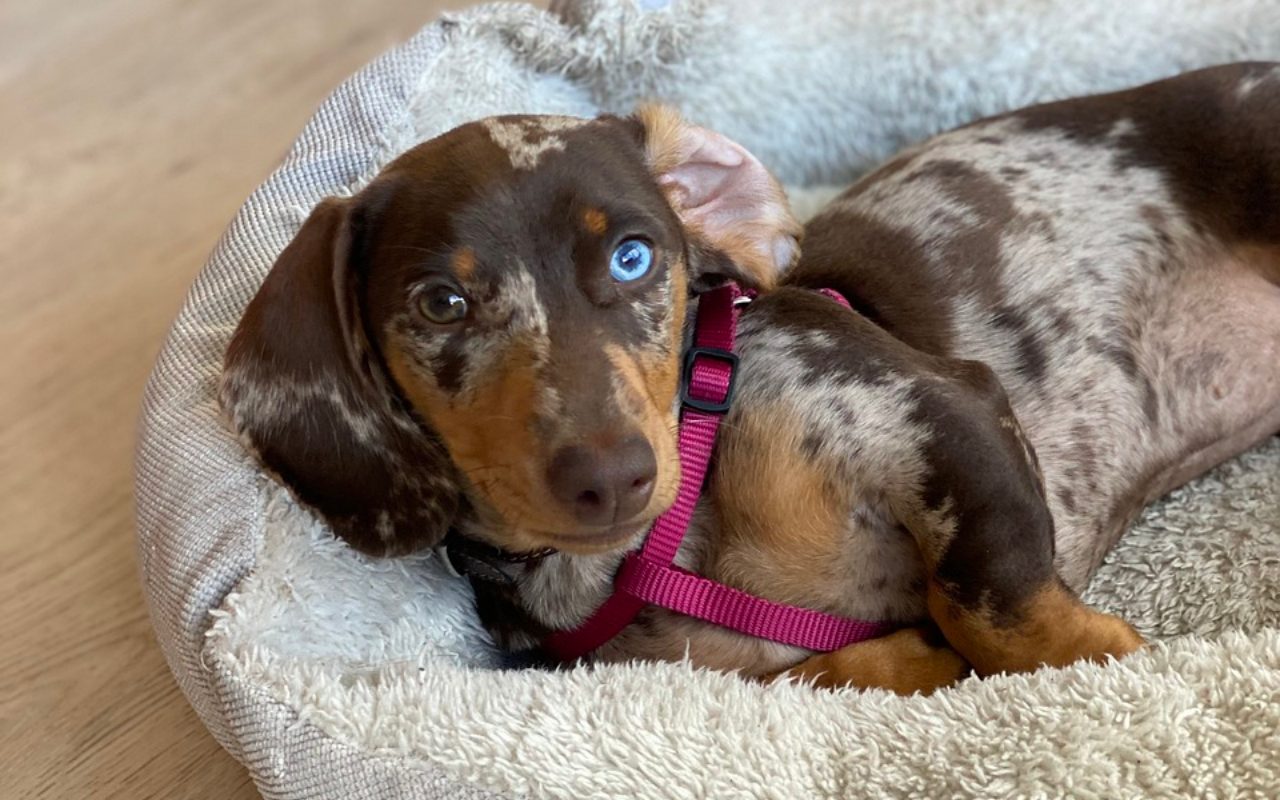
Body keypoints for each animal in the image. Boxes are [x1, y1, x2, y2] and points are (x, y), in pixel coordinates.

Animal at [225, 62, 1280, 691]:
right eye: (442, 303)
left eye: (635, 258)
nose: (609, 475)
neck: (674, 544)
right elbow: (838, 668)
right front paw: (908, 655)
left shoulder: (941, 412)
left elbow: (997, 613)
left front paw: (1102, 666)